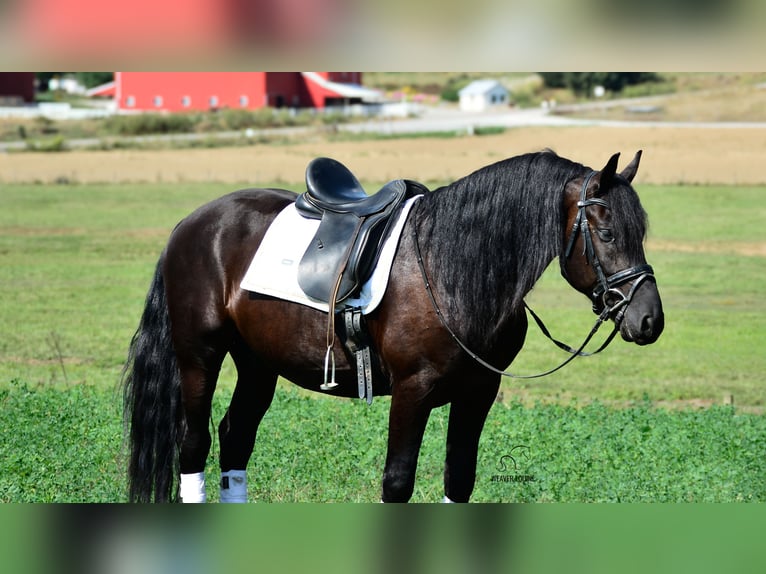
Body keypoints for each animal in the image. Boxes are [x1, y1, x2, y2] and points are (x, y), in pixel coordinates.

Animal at [122, 149, 664, 502]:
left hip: (258, 362)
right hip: (199, 355)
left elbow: (459, 479)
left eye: (641, 231)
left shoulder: (478, 392)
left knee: (236, 438)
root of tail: (192, 223)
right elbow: (398, 481)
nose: (650, 320)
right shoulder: (412, 390)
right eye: (607, 233)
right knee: (195, 444)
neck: (449, 268)